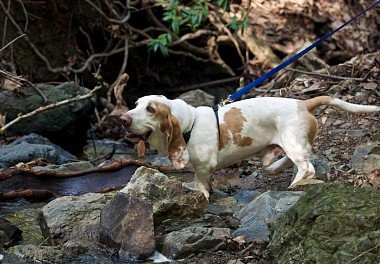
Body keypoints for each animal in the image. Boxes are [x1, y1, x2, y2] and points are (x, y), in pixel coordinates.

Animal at [120, 95, 378, 198]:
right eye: (136, 104)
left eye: (151, 109)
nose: (122, 119)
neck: (189, 123)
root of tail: (303, 103)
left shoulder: (203, 167)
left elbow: (200, 183)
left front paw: (201, 194)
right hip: (291, 144)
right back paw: (274, 166)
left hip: (293, 143)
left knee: (307, 168)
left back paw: (293, 185)